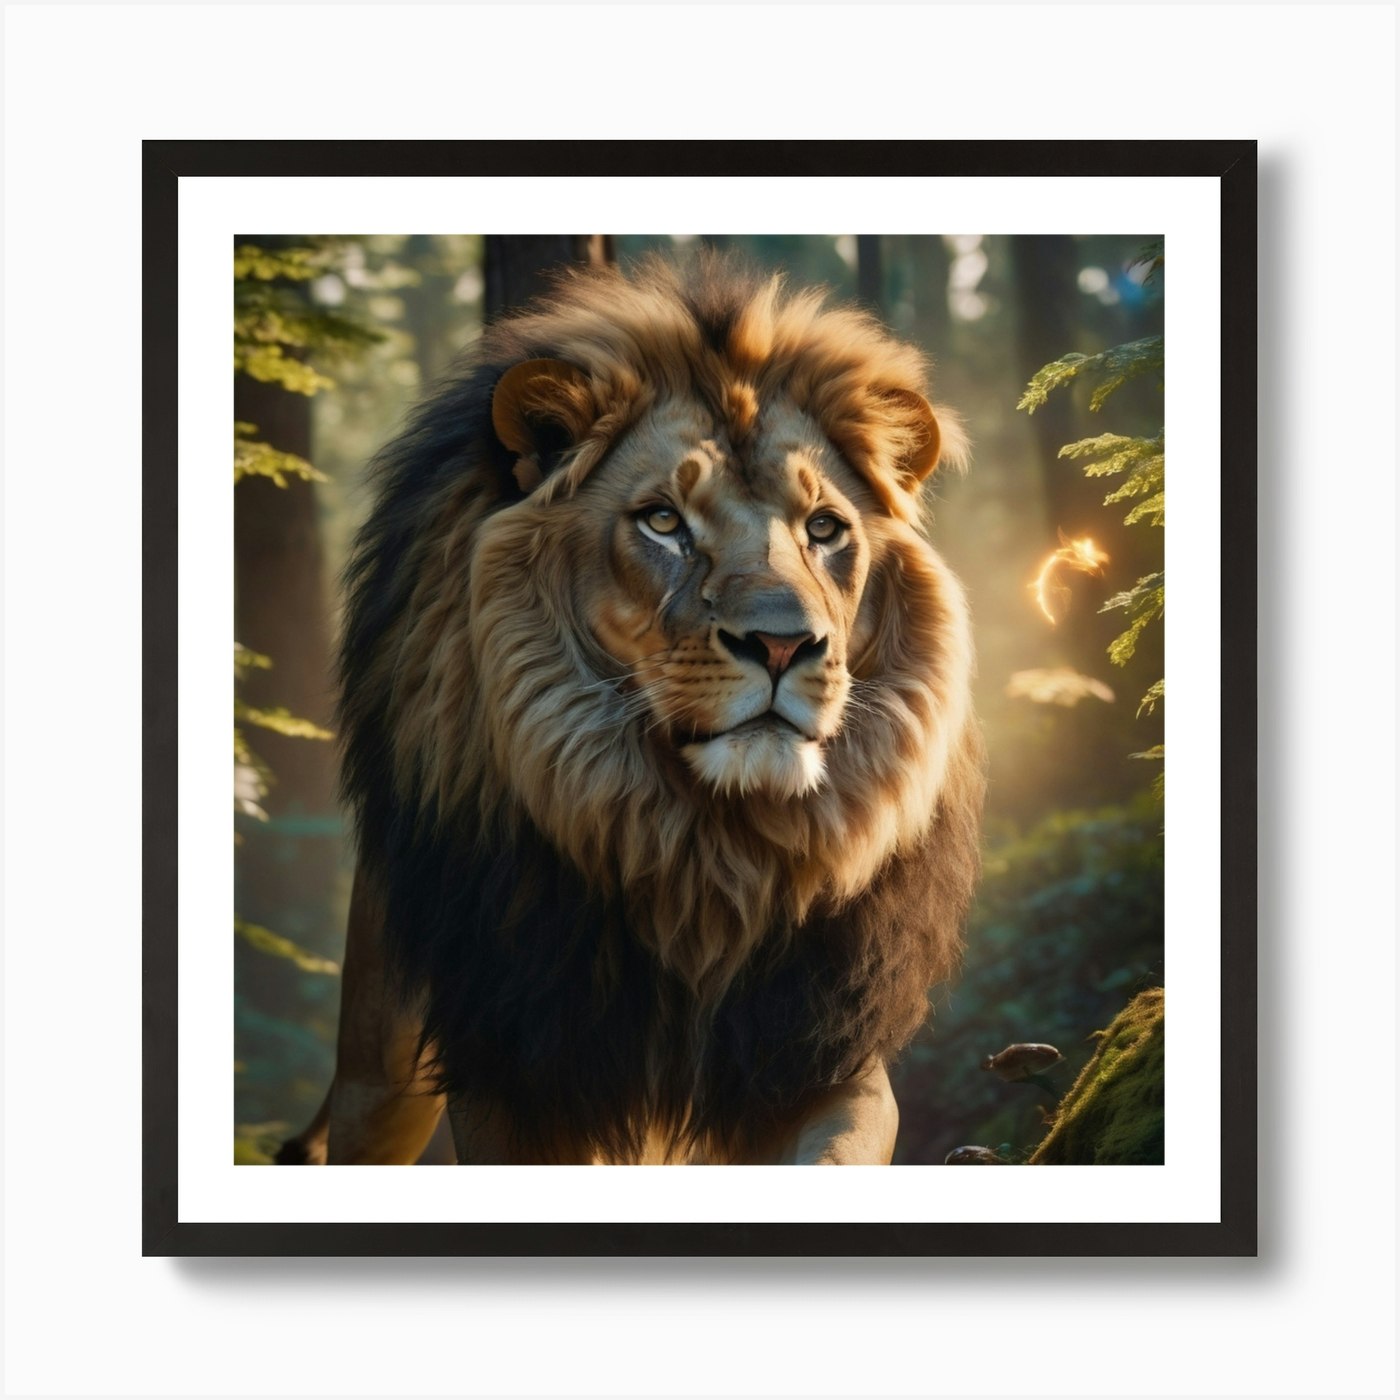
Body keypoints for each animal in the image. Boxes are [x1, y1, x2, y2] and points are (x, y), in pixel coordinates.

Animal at [278, 253, 985, 1166]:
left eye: (826, 529)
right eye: (662, 522)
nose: (784, 645)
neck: (706, 856)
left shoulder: (824, 1058)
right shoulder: (516, 1071)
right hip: (383, 1068)